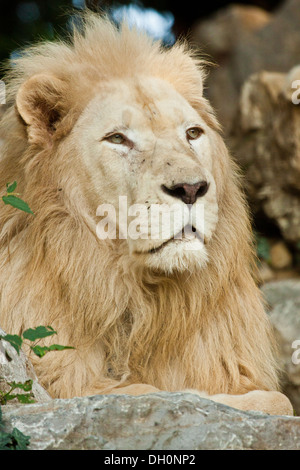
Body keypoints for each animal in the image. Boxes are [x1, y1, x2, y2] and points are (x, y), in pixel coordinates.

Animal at [0, 11, 292, 414]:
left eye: (192, 133)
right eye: (117, 139)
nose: (191, 189)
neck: (142, 301)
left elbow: (280, 400)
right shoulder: (58, 382)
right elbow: (161, 394)